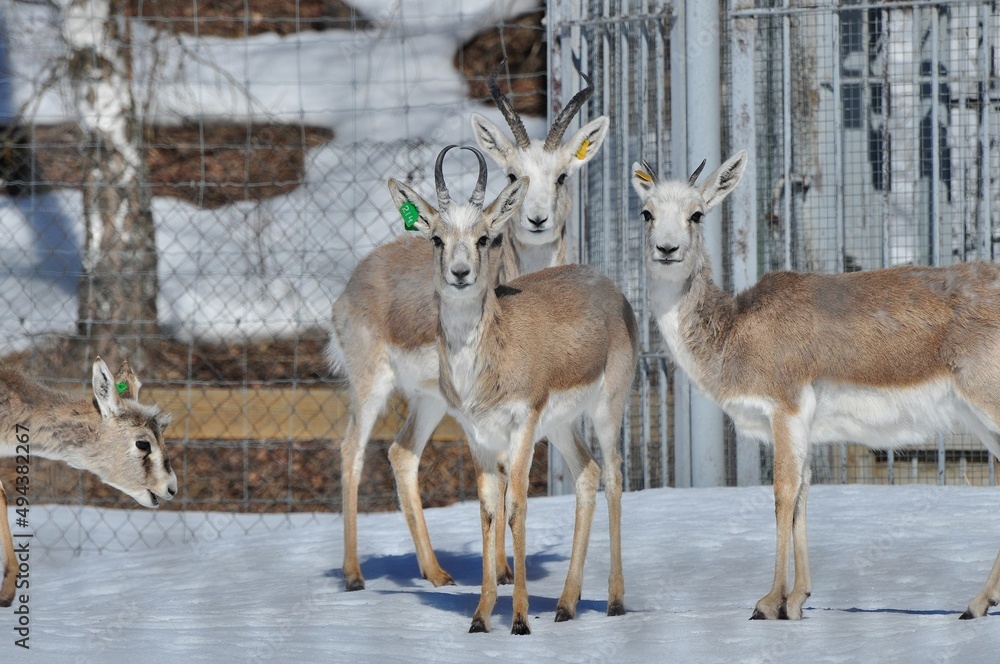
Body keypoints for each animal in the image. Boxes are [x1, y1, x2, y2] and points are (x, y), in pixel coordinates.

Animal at [328, 59, 607, 592]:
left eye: (562, 176)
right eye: (513, 174)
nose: (536, 220)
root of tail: (355, 278)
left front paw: (503, 570)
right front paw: (500, 572)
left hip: (429, 399)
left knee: (401, 454)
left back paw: (436, 572)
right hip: (370, 384)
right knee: (352, 450)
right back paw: (354, 574)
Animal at [388, 145, 637, 634]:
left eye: (484, 237)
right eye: (437, 239)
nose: (461, 273)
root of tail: (607, 286)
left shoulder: (522, 426)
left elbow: (517, 505)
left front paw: (520, 618)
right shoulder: (478, 436)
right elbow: (489, 508)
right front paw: (481, 617)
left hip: (606, 411)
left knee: (614, 478)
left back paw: (615, 601)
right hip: (560, 426)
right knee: (587, 475)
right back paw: (565, 604)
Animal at [631, 149, 1000, 620]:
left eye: (697, 214)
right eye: (647, 212)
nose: (667, 249)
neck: (736, 330)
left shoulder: (785, 411)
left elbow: (783, 495)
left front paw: (768, 602)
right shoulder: (803, 426)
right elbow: (803, 497)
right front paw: (797, 600)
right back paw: (978, 603)